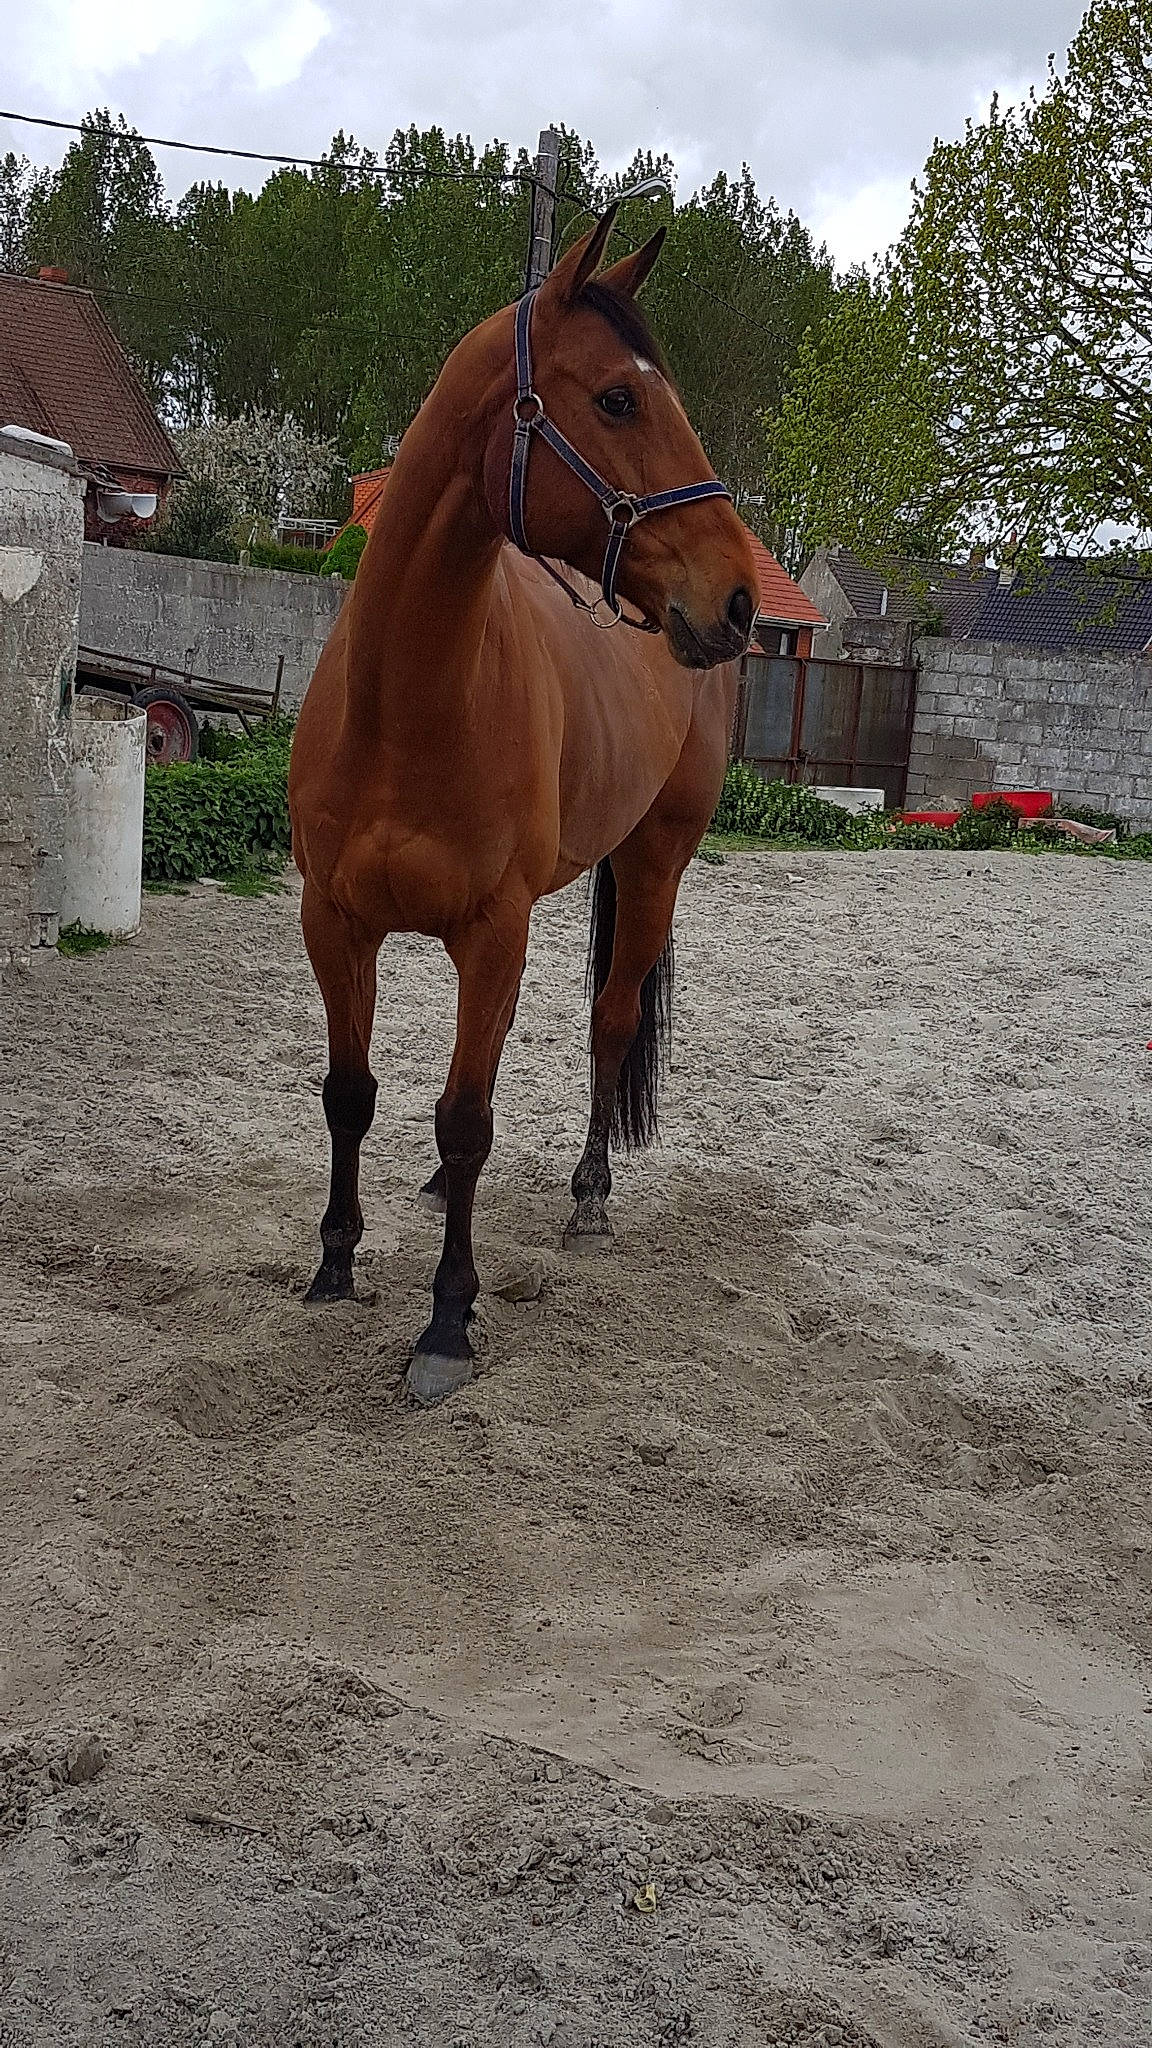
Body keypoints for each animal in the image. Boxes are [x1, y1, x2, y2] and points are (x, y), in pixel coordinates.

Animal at [288, 204, 759, 1405]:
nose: (739, 598)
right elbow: (351, 1091)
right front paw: (335, 1262)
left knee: (610, 1021)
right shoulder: (334, 922)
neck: (409, 699)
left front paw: (448, 1320)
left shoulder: (490, 928)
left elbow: (468, 1119)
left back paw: (590, 1198)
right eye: (620, 399)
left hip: (653, 862)